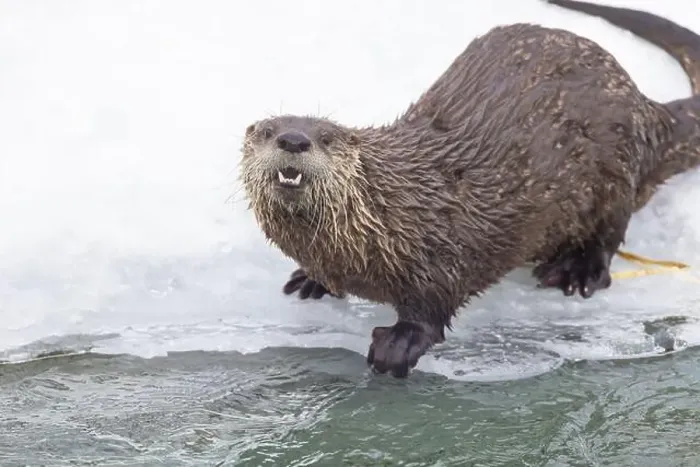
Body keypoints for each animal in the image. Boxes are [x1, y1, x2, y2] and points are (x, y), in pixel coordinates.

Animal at [239, 3, 700, 378]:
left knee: (610, 231)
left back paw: (575, 270)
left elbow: (434, 302)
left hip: (614, 169)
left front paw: (399, 343)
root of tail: (646, 109)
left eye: (327, 136)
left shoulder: (441, 249)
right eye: (267, 131)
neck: (389, 210)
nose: (294, 139)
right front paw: (311, 279)